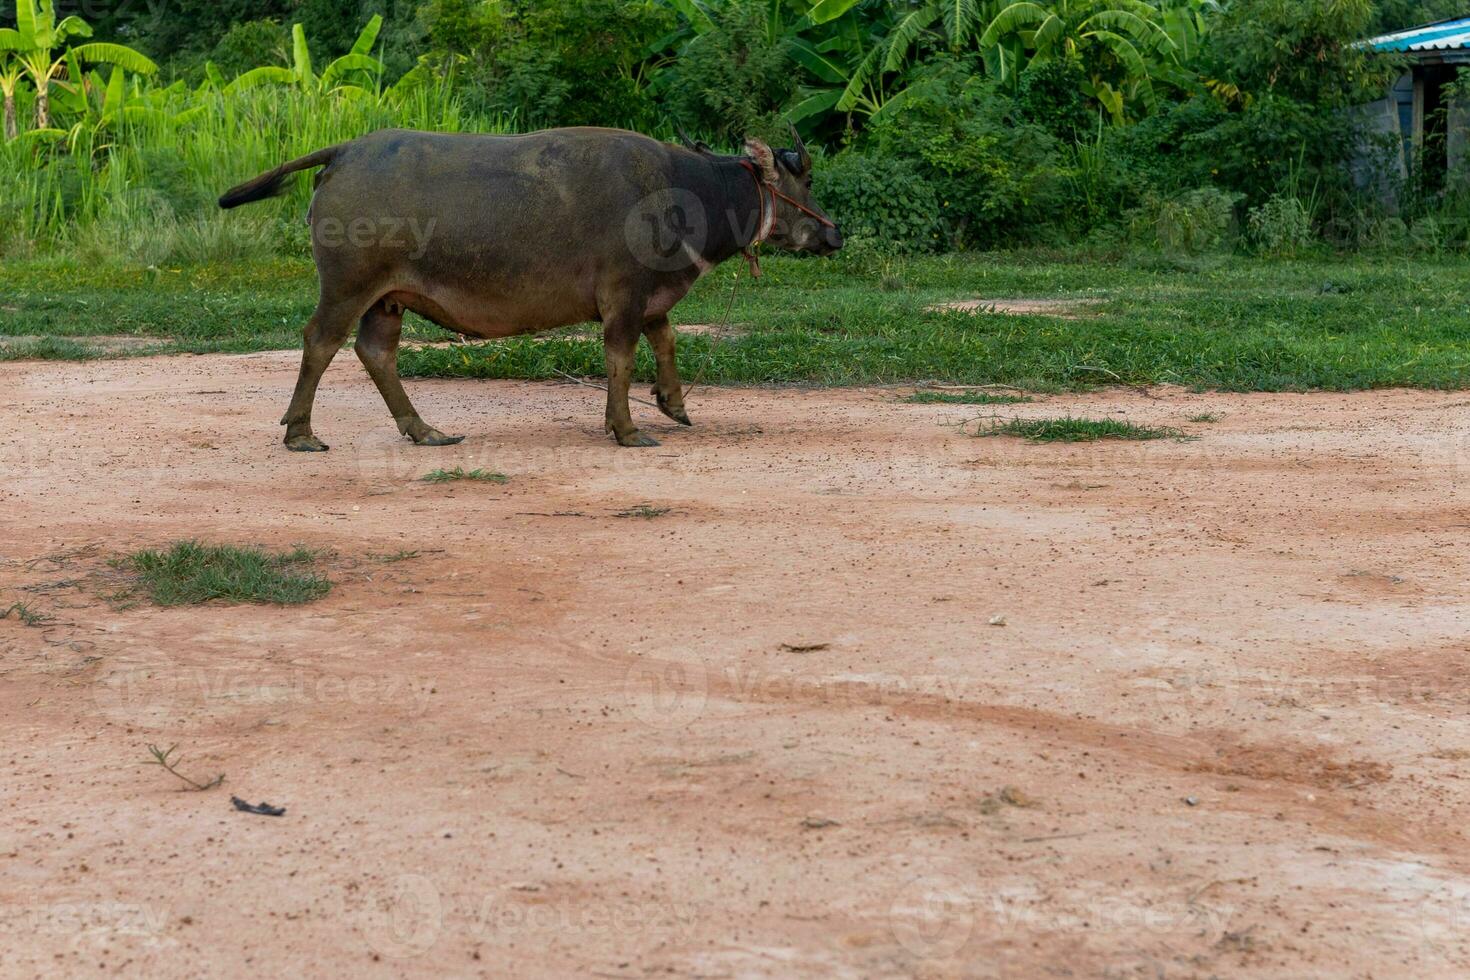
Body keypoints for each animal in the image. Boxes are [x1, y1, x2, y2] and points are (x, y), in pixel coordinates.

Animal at [216, 126, 840, 452]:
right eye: (806, 177)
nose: (835, 232)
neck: (683, 190)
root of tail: (346, 151)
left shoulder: (646, 296)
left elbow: (664, 340)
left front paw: (674, 403)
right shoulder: (623, 294)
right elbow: (621, 358)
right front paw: (626, 428)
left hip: (387, 298)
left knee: (376, 352)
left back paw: (424, 430)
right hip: (349, 285)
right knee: (320, 342)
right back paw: (301, 432)